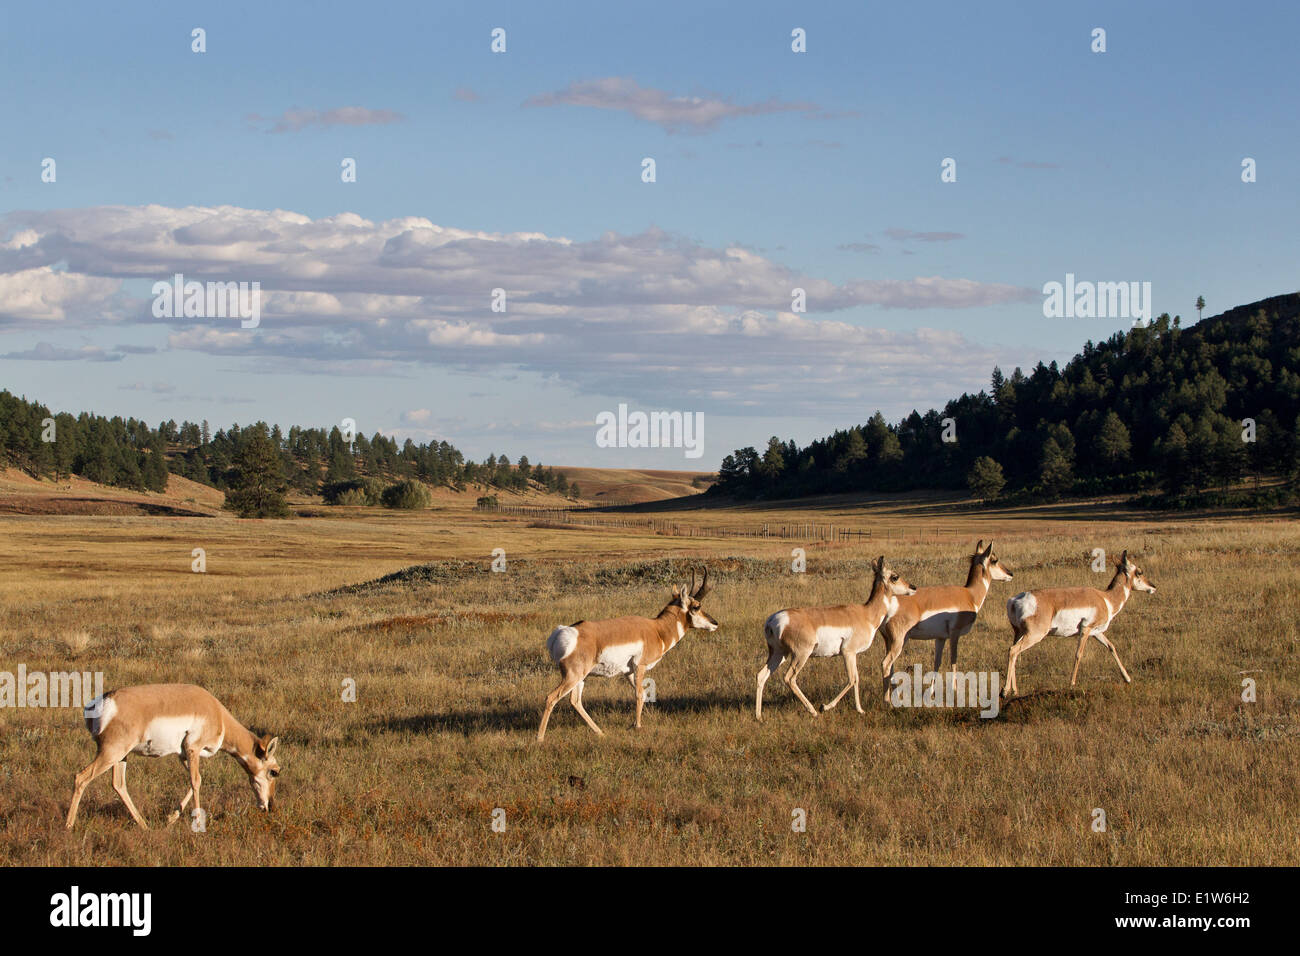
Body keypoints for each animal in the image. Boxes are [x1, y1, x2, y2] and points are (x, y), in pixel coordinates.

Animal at [65, 686, 279, 832]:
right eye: (274, 771)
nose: (270, 806)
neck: (217, 713)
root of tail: (102, 702)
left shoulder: (183, 755)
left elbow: (195, 781)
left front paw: (171, 818)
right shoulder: (193, 749)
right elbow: (196, 782)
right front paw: (198, 824)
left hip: (121, 756)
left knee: (118, 784)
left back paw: (144, 825)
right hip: (111, 753)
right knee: (81, 777)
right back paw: (68, 826)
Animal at [538, 567, 722, 738]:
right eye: (697, 606)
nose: (715, 623)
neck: (657, 630)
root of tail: (562, 632)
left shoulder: (628, 672)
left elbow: (643, 694)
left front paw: (634, 723)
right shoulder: (640, 666)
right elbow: (639, 694)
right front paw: (638, 726)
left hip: (580, 678)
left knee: (575, 701)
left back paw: (600, 732)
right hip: (573, 676)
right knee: (551, 698)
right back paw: (539, 738)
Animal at [759, 556, 920, 723]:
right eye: (895, 576)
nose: (913, 587)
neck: (866, 614)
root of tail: (773, 620)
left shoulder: (853, 654)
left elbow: (856, 679)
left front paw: (860, 710)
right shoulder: (848, 652)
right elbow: (851, 679)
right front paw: (825, 707)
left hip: (779, 654)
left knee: (761, 676)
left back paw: (759, 717)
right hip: (800, 655)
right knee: (789, 678)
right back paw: (813, 711)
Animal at [873, 538, 1013, 702]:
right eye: (994, 559)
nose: (1010, 573)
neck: (970, 595)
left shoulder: (940, 638)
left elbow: (937, 662)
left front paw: (931, 693)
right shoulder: (955, 634)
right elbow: (953, 659)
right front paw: (955, 691)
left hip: (890, 641)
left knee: (891, 665)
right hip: (899, 641)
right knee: (886, 663)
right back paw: (887, 700)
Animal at [1003, 548, 1159, 697]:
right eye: (1139, 572)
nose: (1153, 587)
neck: (1105, 599)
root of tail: (1015, 600)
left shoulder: (1097, 633)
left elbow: (1111, 647)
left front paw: (1127, 678)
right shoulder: (1086, 629)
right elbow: (1079, 654)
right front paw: (1072, 684)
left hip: (1019, 633)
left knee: (1013, 652)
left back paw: (1014, 691)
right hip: (1035, 635)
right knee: (1014, 650)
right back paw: (1004, 691)